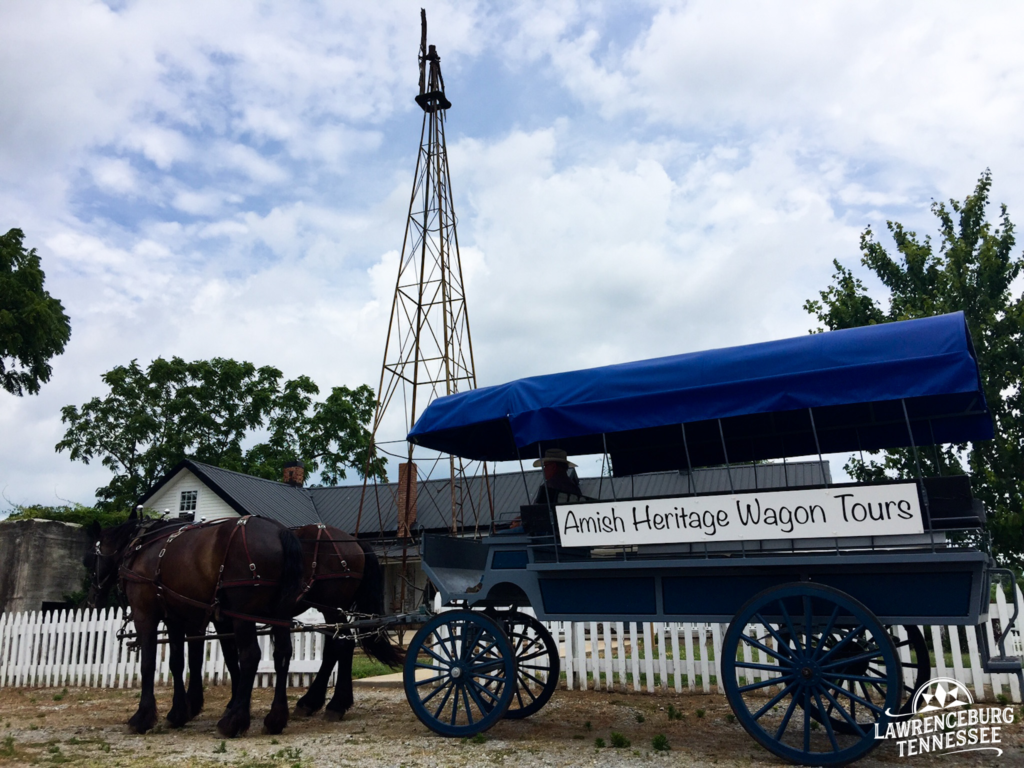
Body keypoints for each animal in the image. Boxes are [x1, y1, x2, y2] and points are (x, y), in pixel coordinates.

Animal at [87, 518, 303, 741]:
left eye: (91, 558)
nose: (92, 599)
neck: (140, 547)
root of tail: (278, 531)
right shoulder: (175, 619)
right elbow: (178, 663)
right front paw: (178, 713)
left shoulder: (144, 615)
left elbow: (148, 664)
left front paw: (141, 718)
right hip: (280, 613)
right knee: (282, 654)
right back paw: (275, 719)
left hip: (243, 615)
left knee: (250, 656)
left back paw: (232, 722)